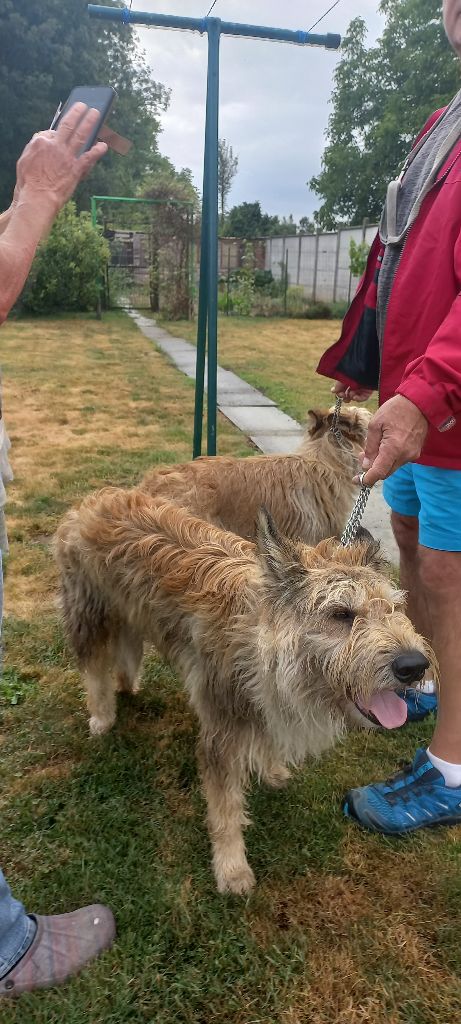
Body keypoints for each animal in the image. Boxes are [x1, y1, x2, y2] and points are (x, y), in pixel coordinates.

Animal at [54, 489, 432, 897]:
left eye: (394, 608)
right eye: (341, 614)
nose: (414, 666)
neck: (258, 643)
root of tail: (94, 497)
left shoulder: (262, 706)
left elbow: (266, 744)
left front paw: (272, 770)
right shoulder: (220, 732)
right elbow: (225, 811)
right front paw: (231, 866)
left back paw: (127, 684)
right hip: (87, 614)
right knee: (94, 671)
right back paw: (102, 716)